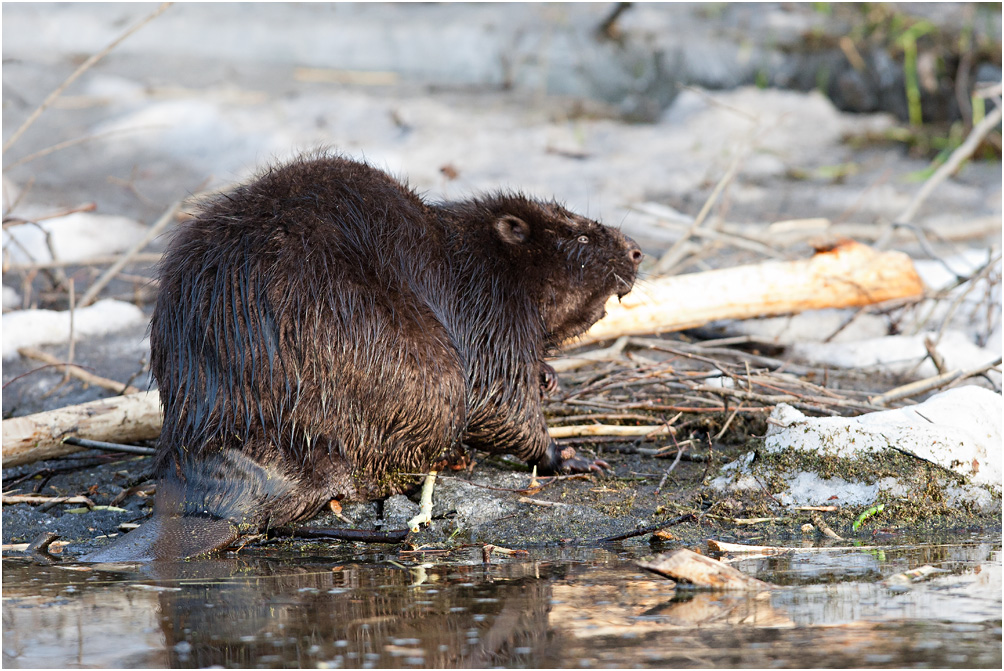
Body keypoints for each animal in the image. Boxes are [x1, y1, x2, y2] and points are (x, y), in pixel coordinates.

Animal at [82, 155, 638, 562]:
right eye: (582, 236)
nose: (635, 251)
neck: (479, 256)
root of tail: (205, 509)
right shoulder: (490, 311)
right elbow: (500, 400)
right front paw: (575, 457)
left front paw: (550, 378)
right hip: (422, 370)